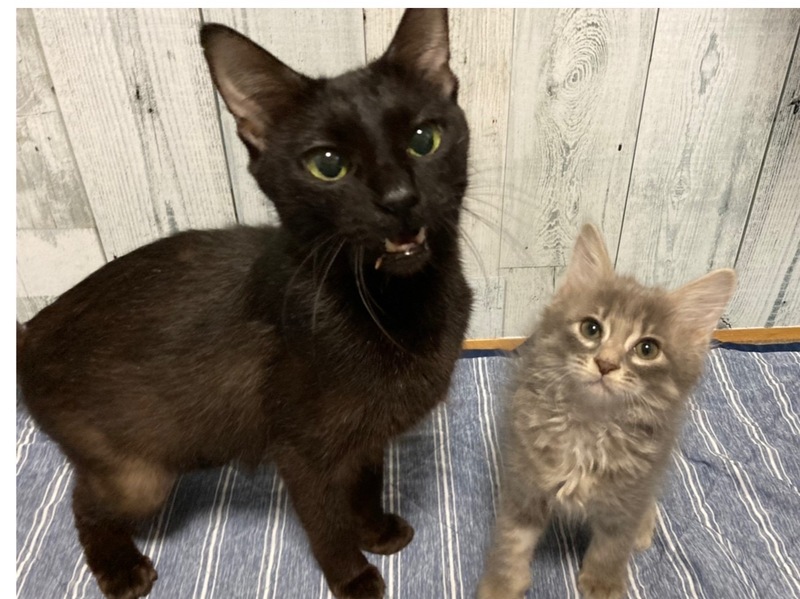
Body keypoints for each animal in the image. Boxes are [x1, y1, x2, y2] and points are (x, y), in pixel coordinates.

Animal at [16, 9, 472, 599]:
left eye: (424, 138)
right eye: (327, 165)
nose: (399, 198)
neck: (396, 309)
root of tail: (30, 330)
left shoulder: (367, 438)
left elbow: (366, 486)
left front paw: (376, 531)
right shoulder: (302, 453)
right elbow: (326, 520)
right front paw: (353, 577)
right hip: (137, 476)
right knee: (82, 501)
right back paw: (121, 570)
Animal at [477, 224, 736, 599]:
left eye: (647, 349)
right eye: (591, 328)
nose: (606, 363)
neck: (590, 427)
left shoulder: (628, 496)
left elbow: (611, 548)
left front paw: (603, 585)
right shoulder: (524, 483)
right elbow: (510, 543)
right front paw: (500, 585)